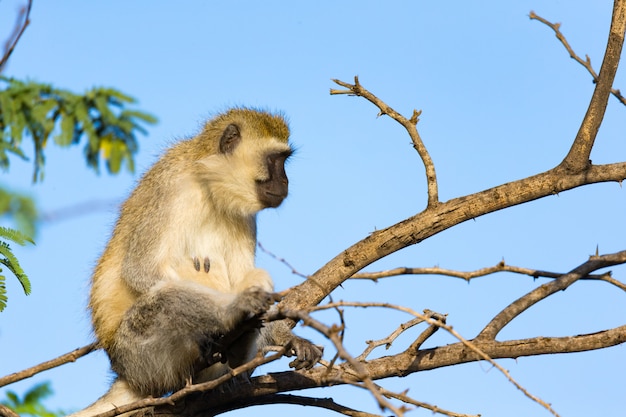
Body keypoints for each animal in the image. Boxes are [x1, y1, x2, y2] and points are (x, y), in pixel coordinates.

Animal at [70, 108, 320, 416]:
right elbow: (140, 270)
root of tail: (128, 377)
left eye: (285, 160)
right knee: (166, 300)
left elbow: (242, 276)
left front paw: (286, 336)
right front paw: (236, 310)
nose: (285, 182)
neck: (208, 184)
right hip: (139, 354)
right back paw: (233, 315)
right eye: (276, 159)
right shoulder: (170, 186)